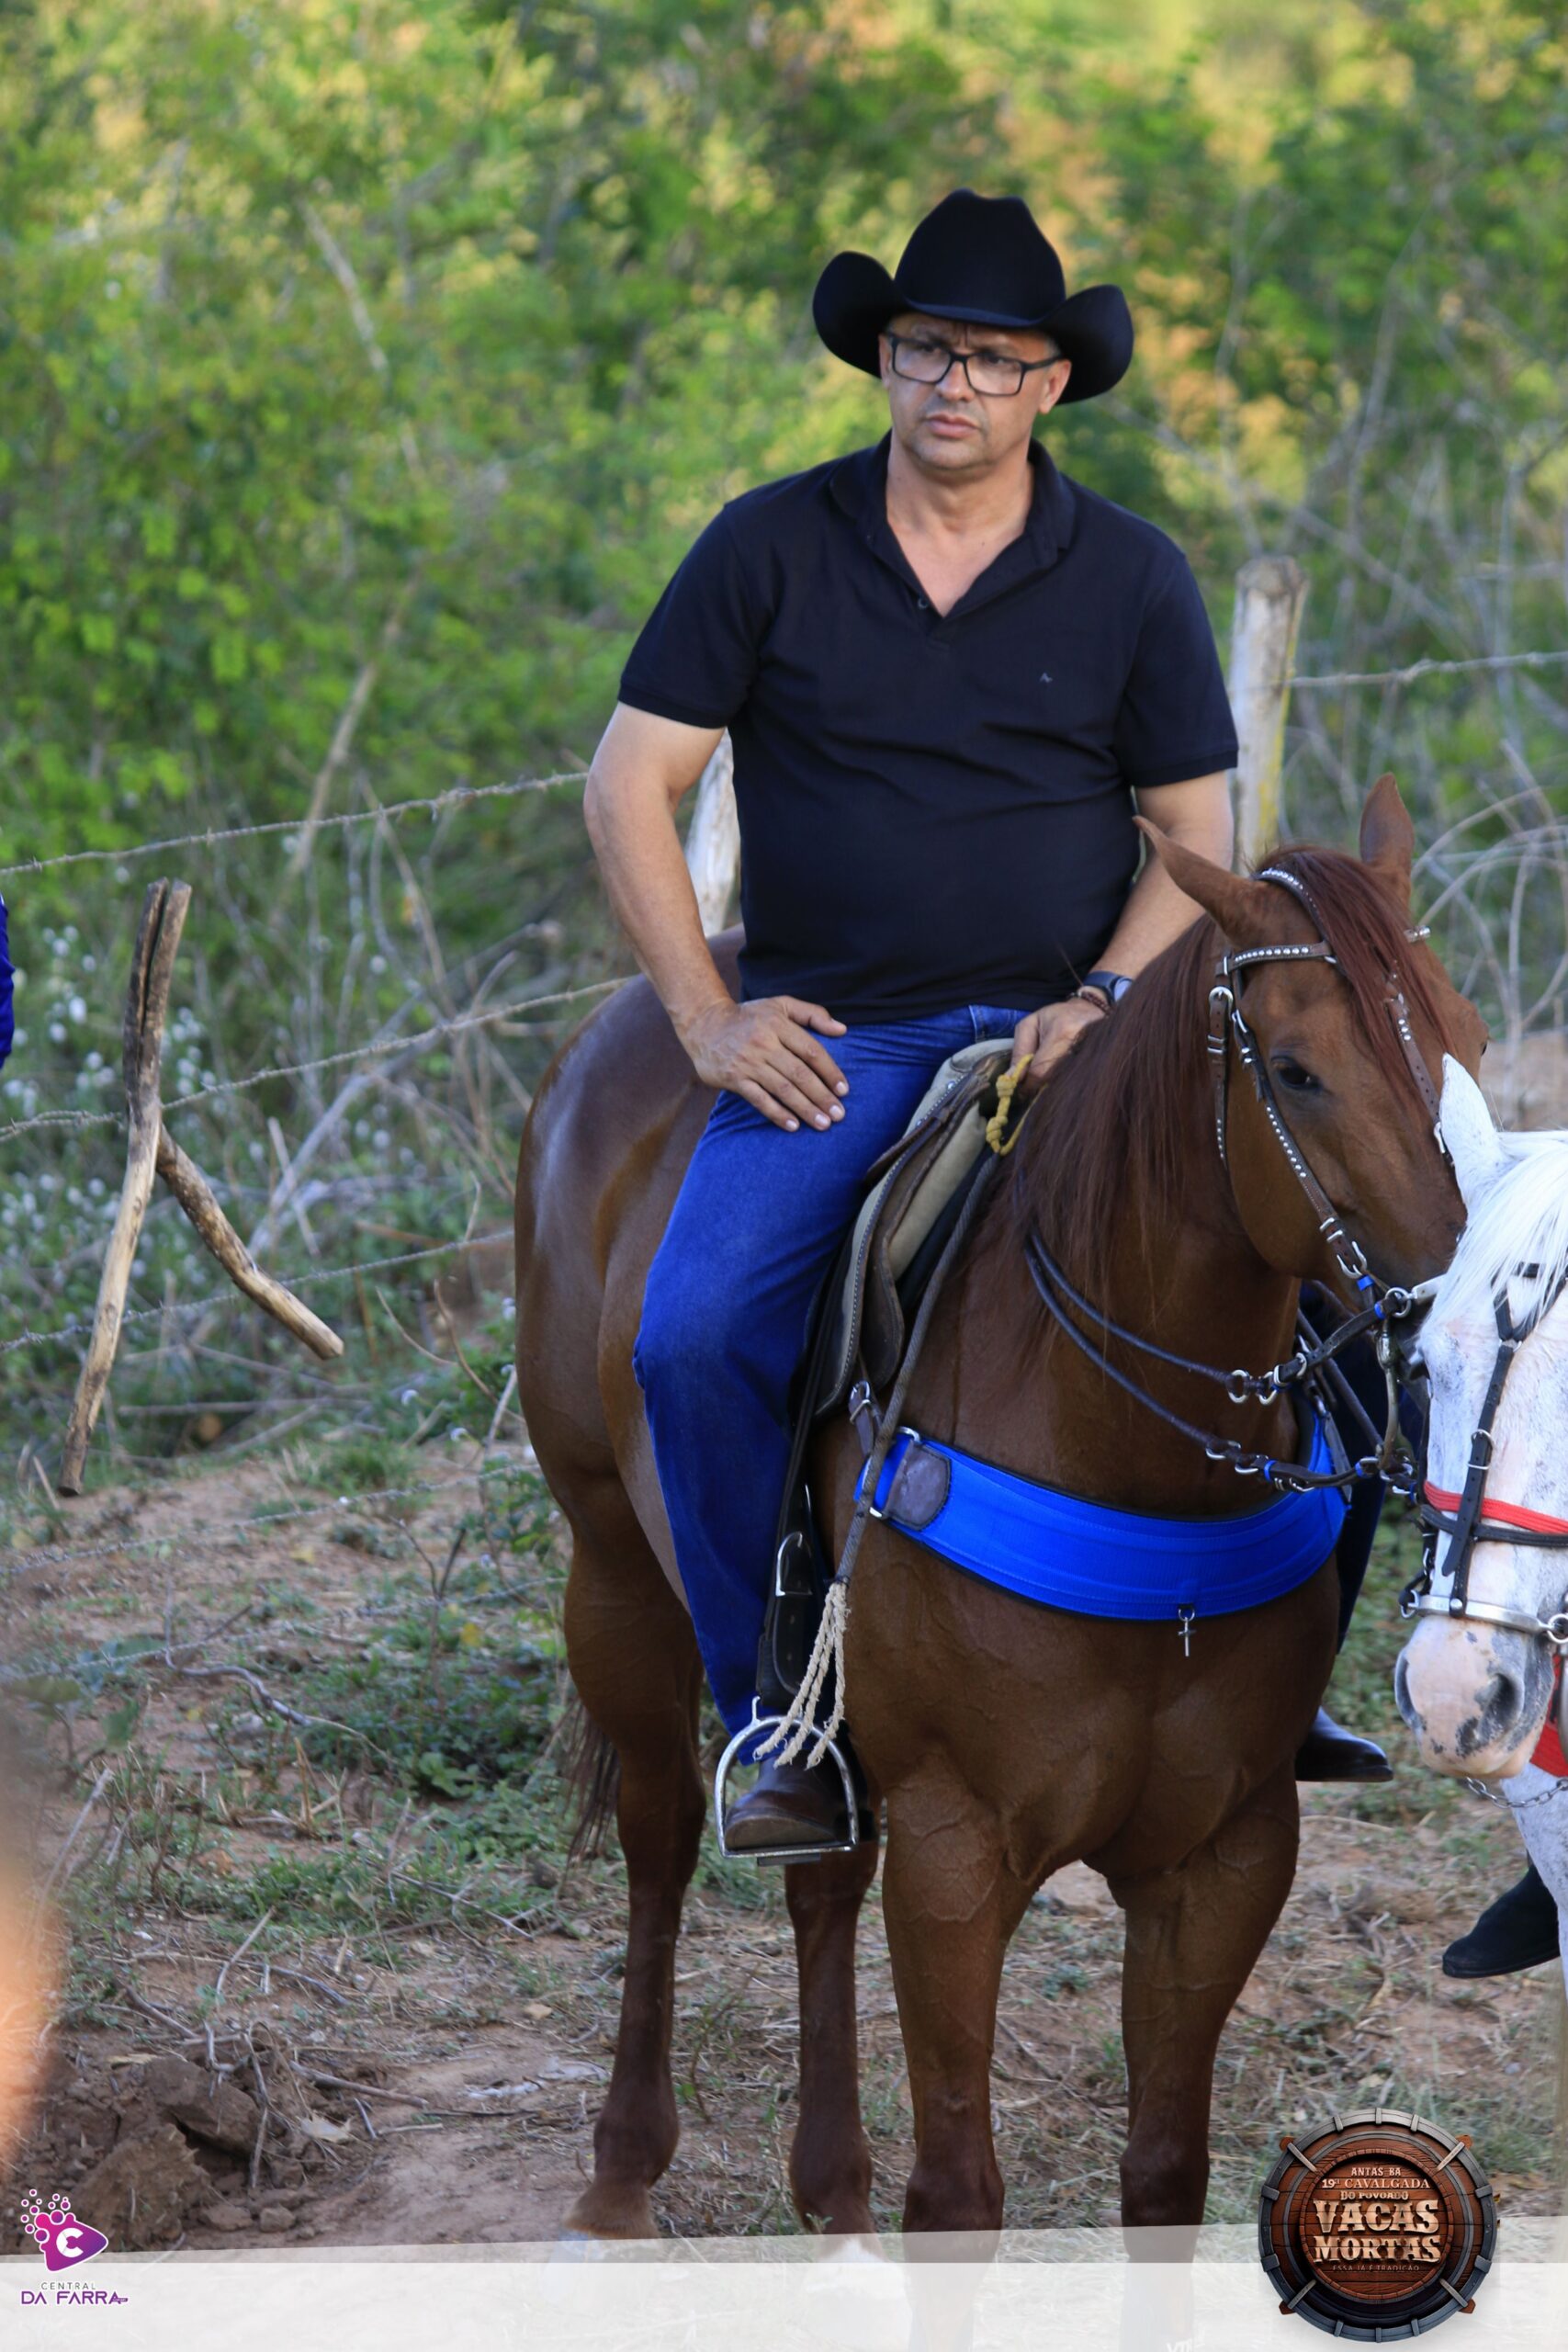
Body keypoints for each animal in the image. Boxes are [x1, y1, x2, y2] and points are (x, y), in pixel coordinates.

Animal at [513, 775, 1484, 2238]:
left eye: (1463, 1042)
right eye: (1297, 1071)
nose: (1462, 1317)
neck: (1124, 1448)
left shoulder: (1224, 1858)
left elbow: (1163, 2175)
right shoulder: (957, 1853)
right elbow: (959, 2195)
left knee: (819, 1872)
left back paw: (829, 2190)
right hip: (614, 1568)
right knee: (661, 1834)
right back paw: (623, 2169)